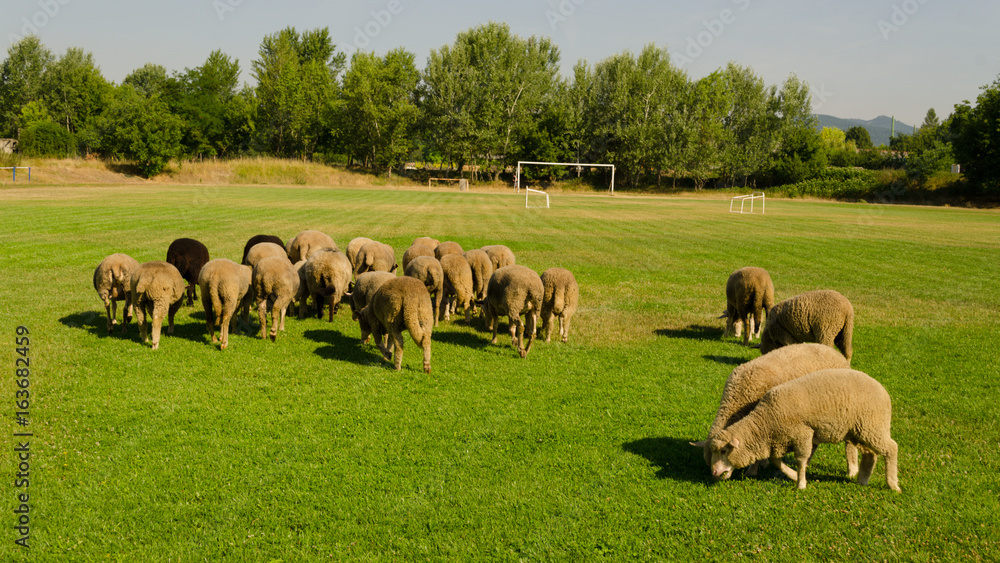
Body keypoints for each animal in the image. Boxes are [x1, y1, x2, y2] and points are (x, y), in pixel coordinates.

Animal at [690, 343, 853, 478]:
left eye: (723, 452)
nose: (715, 474)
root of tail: (835, 353)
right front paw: (763, 463)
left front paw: (753, 470)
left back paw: (851, 470)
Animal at [707, 368, 900, 492]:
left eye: (724, 451)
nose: (713, 472)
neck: (766, 422)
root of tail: (882, 389)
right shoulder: (780, 440)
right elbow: (776, 461)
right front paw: (792, 475)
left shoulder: (802, 434)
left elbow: (801, 460)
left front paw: (800, 484)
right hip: (859, 431)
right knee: (870, 454)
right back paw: (863, 480)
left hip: (873, 425)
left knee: (891, 448)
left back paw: (892, 484)